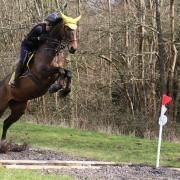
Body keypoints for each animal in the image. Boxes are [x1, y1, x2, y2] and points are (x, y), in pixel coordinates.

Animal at [0, 13, 80, 141]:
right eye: (67, 29)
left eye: (76, 30)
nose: (73, 48)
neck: (52, 49)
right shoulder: (43, 72)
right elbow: (61, 71)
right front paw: (56, 87)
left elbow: (68, 73)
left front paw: (64, 91)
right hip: (2, 104)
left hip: (19, 108)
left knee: (7, 123)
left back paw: (3, 141)